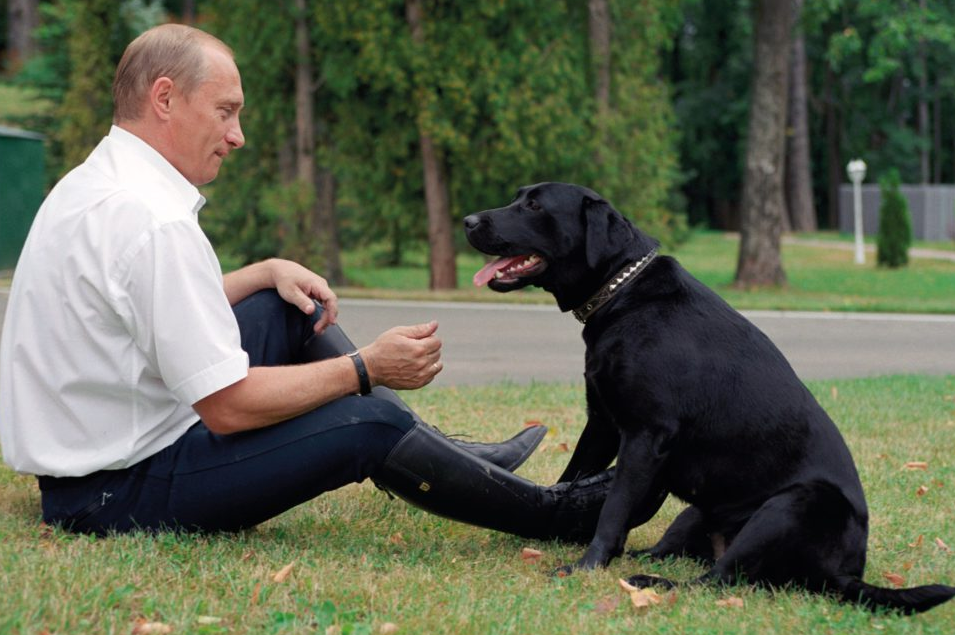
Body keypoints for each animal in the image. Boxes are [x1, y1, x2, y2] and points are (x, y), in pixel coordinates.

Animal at [464, 183, 955, 616]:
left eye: (533, 205)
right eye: (518, 197)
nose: (468, 220)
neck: (623, 293)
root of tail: (847, 574)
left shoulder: (644, 435)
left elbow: (612, 509)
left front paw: (584, 567)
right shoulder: (600, 423)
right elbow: (572, 479)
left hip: (792, 506)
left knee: (717, 579)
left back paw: (650, 584)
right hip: (695, 515)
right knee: (679, 556)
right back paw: (640, 565)